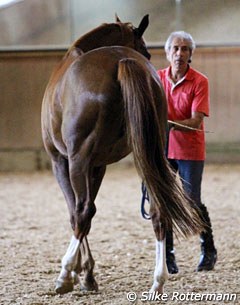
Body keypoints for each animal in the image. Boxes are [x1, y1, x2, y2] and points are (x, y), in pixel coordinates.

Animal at [41, 15, 202, 294]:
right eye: (146, 49)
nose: (148, 56)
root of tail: (121, 60)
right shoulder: (98, 166)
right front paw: (87, 274)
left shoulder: (62, 161)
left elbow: (76, 211)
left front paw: (78, 273)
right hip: (148, 158)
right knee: (158, 211)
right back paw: (157, 281)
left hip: (78, 161)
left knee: (82, 211)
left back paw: (63, 274)